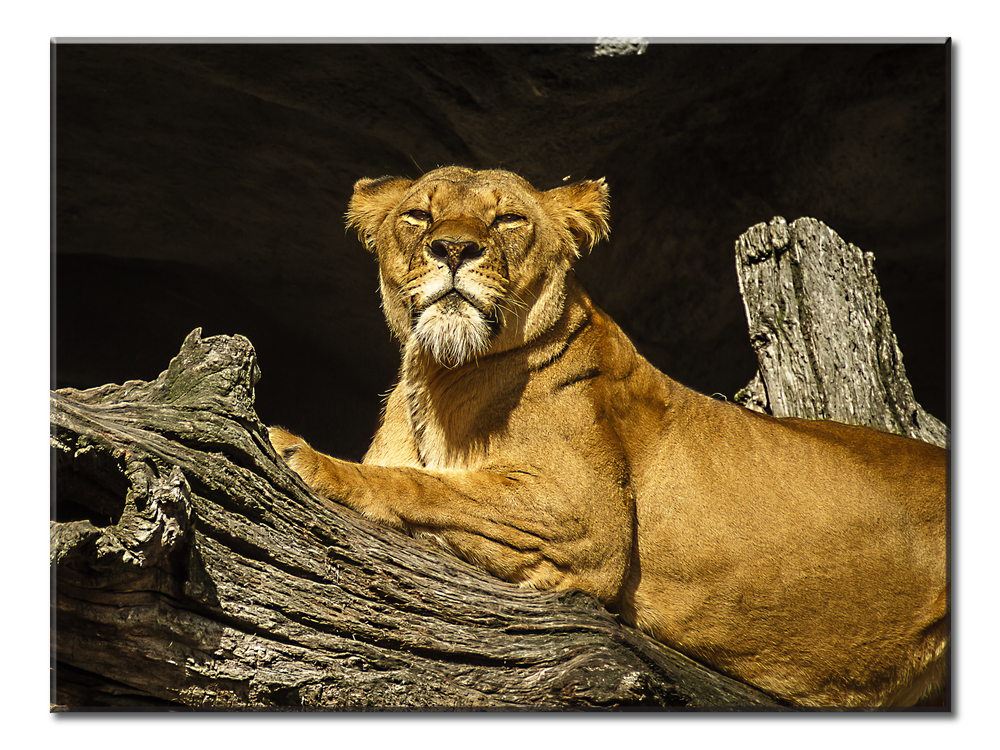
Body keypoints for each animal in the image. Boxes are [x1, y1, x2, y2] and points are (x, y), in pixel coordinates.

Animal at [269, 166, 948, 708]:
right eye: (418, 215)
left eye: (509, 219)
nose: (453, 248)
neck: (438, 376)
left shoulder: (583, 520)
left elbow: (427, 486)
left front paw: (305, 455)